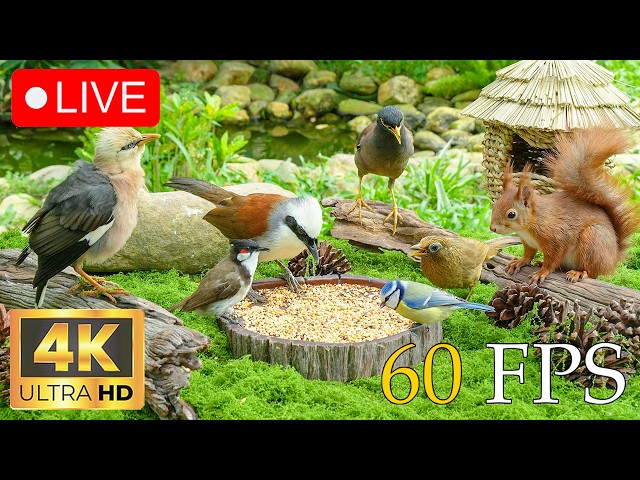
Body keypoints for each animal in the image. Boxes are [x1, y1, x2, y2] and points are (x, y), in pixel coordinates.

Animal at [489, 127, 640, 285]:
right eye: (495, 206)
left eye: (511, 214)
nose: (492, 228)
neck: (530, 225)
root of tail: (613, 258)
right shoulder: (528, 242)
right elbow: (529, 253)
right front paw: (521, 261)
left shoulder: (556, 238)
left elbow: (553, 259)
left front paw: (542, 271)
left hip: (593, 240)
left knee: (592, 271)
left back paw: (579, 273)